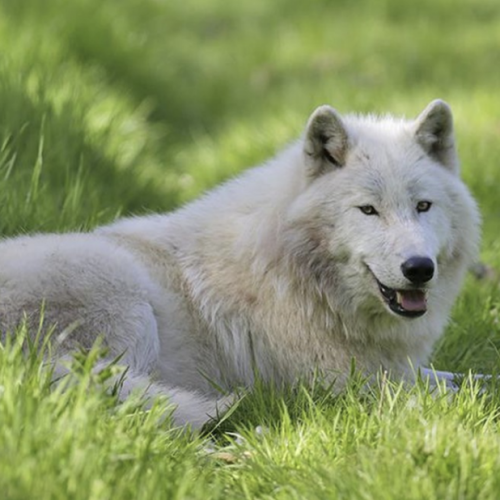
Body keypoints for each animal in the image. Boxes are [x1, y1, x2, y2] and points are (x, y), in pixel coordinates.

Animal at [0, 99, 480, 428]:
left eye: (423, 206)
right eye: (368, 210)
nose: (419, 268)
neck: (295, 273)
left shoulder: (398, 369)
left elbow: (468, 378)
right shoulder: (352, 383)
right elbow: (451, 391)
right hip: (123, 295)